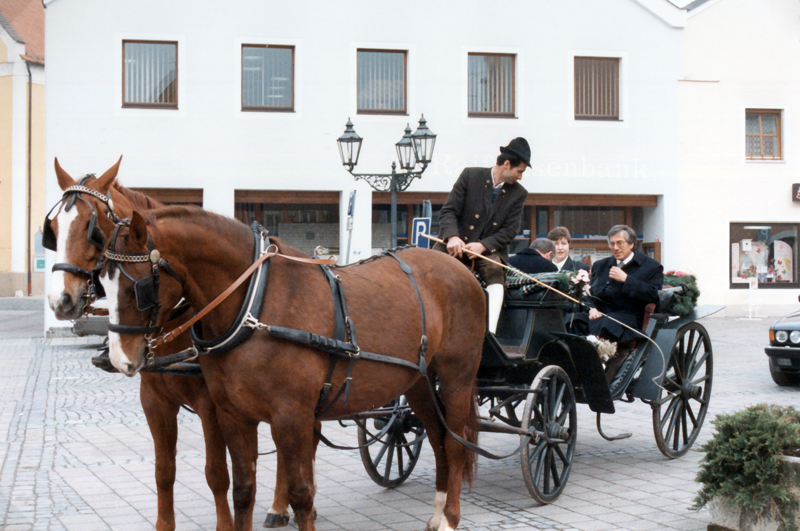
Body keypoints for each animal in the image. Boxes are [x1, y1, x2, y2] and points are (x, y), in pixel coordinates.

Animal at [44, 159, 306, 531]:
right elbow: (164, 472)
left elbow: (217, 474)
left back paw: (283, 506)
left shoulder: (212, 406)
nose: (60, 300)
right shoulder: (154, 401)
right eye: (52, 228)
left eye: (92, 229)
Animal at [101, 207, 488, 531]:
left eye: (139, 288)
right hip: (418, 383)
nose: (119, 359)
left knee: (456, 443)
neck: (254, 303)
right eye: (101, 282)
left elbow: (302, 492)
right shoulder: (232, 414)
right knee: (437, 438)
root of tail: (460, 268)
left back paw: (450, 518)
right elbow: (242, 490)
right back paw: (437, 512)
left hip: (456, 378)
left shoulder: (291, 415)